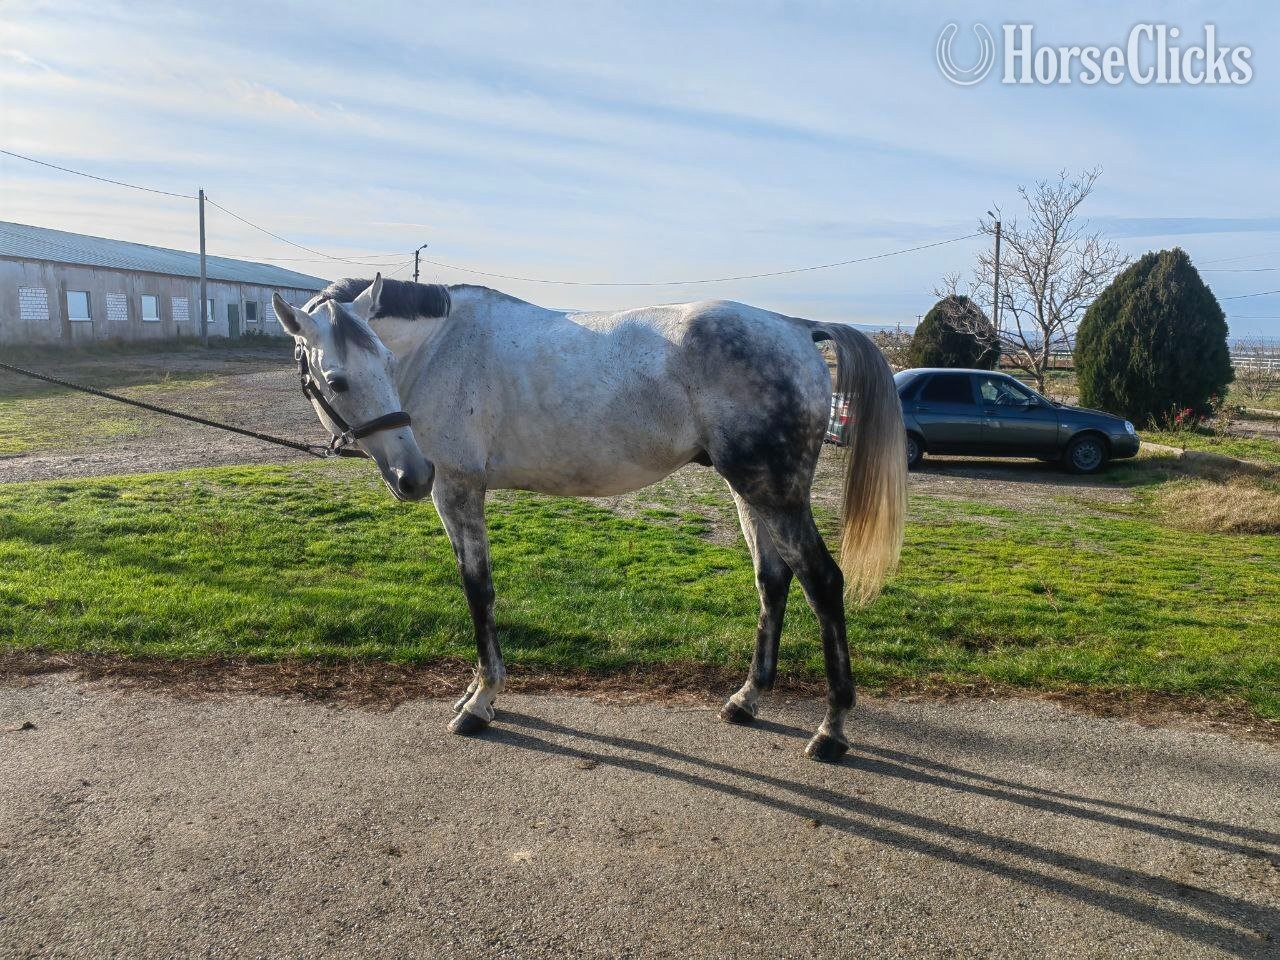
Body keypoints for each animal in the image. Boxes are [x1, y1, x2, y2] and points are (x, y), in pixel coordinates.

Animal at [273, 274, 905, 761]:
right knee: (773, 580)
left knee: (822, 581)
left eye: (382, 362)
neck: (441, 348)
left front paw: (481, 702)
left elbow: (478, 589)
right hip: (749, 490)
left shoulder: (456, 488)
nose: (412, 476)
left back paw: (832, 730)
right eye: (340, 379)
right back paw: (747, 700)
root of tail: (796, 327)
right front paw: (476, 690)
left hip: (775, 493)